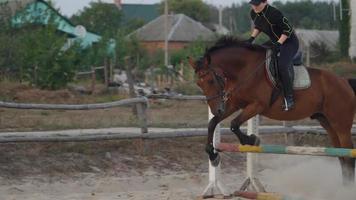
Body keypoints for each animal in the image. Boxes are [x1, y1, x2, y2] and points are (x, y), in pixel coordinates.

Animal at [188, 37, 354, 184]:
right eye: (199, 83)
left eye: (210, 80)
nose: (216, 109)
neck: (244, 70)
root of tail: (344, 81)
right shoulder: (235, 104)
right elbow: (212, 123)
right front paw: (213, 155)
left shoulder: (257, 105)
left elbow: (234, 124)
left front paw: (251, 140)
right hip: (327, 123)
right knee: (342, 157)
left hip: (341, 125)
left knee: (349, 155)